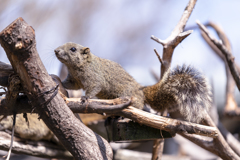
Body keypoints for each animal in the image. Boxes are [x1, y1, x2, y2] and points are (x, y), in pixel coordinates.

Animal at [54, 42, 212, 122]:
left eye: (73, 49)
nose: (56, 50)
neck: (77, 67)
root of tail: (141, 91)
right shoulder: (74, 80)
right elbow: (70, 84)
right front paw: (55, 78)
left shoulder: (95, 77)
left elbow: (94, 87)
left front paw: (86, 97)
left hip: (130, 99)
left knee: (137, 108)